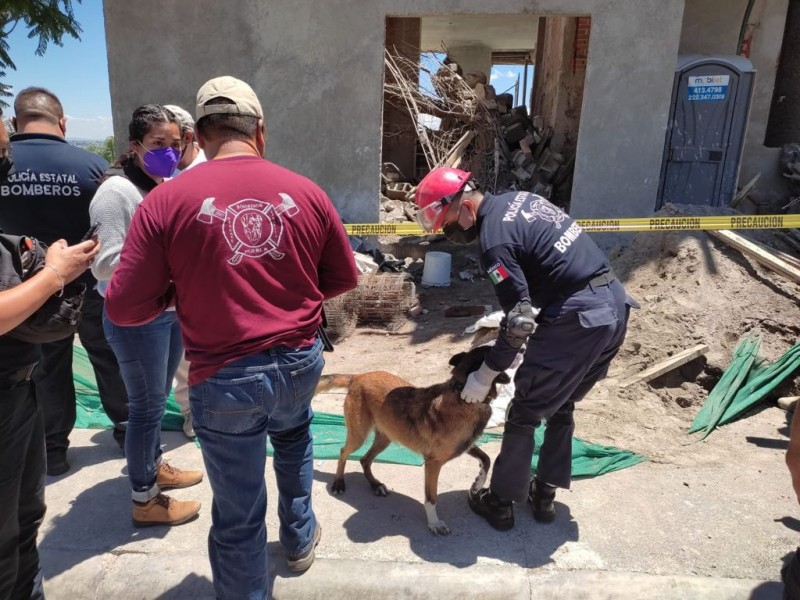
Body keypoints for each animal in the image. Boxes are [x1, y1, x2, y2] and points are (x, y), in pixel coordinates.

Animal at [316, 344, 510, 536]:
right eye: (491, 351)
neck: (461, 394)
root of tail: (358, 376)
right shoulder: (433, 463)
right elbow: (431, 497)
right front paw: (434, 523)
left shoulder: (466, 445)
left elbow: (486, 459)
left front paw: (478, 484)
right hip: (359, 436)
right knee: (343, 452)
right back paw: (339, 483)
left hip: (384, 438)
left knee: (365, 459)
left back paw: (375, 485)